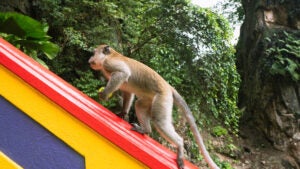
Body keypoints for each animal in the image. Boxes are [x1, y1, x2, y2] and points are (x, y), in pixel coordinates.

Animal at [88, 44, 219, 169]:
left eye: (93, 53)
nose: (89, 60)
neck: (109, 56)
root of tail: (168, 86)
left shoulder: (110, 63)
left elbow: (123, 73)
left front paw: (104, 95)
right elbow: (128, 92)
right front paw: (122, 113)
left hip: (163, 98)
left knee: (160, 122)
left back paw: (180, 145)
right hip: (150, 98)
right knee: (139, 105)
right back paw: (146, 130)